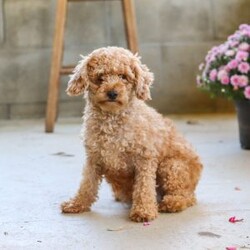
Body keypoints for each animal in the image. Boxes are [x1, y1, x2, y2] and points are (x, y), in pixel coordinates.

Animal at [61, 46, 203, 222]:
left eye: (124, 77)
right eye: (100, 77)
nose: (112, 93)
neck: (112, 120)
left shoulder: (145, 158)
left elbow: (144, 186)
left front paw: (143, 211)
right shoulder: (94, 158)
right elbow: (87, 184)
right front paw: (77, 204)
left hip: (172, 166)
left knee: (187, 196)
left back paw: (171, 203)